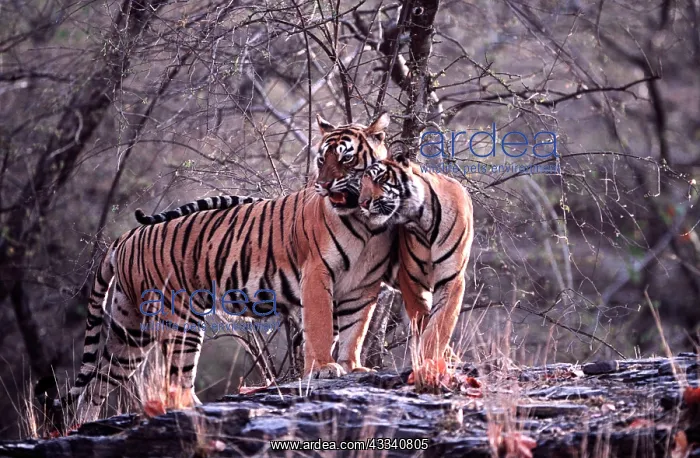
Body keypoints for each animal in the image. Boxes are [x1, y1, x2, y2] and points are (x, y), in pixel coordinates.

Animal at [53, 113, 395, 424]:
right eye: (321, 160)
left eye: (347, 158)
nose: (322, 185)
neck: (362, 220)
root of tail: (127, 235)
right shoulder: (316, 274)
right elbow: (322, 326)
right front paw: (324, 367)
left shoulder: (363, 286)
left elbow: (356, 330)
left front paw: (353, 367)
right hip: (180, 319)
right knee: (173, 379)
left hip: (131, 329)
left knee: (99, 381)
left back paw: (82, 424)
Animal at [358, 147, 474, 362]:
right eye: (362, 183)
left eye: (379, 179)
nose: (362, 203)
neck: (423, 221)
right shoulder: (412, 281)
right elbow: (424, 321)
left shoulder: (452, 278)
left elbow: (440, 324)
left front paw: (430, 359)